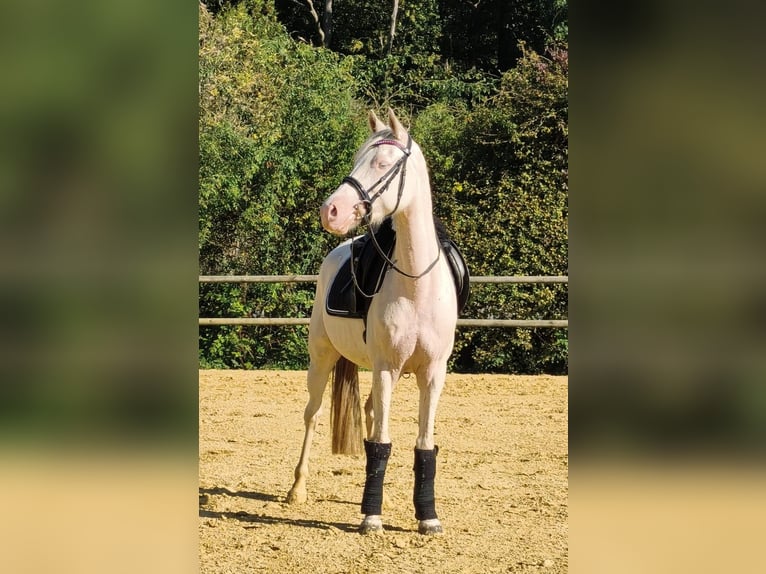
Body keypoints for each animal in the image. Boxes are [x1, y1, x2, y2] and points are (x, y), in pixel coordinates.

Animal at [286, 109, 460, 535]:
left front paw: (427, 517)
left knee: (366, 412)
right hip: (322, 360)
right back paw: (297, 489)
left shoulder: (432, 373)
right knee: (313, 415)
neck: (416, 285)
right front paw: (371, 517)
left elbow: (423, 443)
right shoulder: (385, 368)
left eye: (382, 164)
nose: (331, 210)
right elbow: (381, 442)